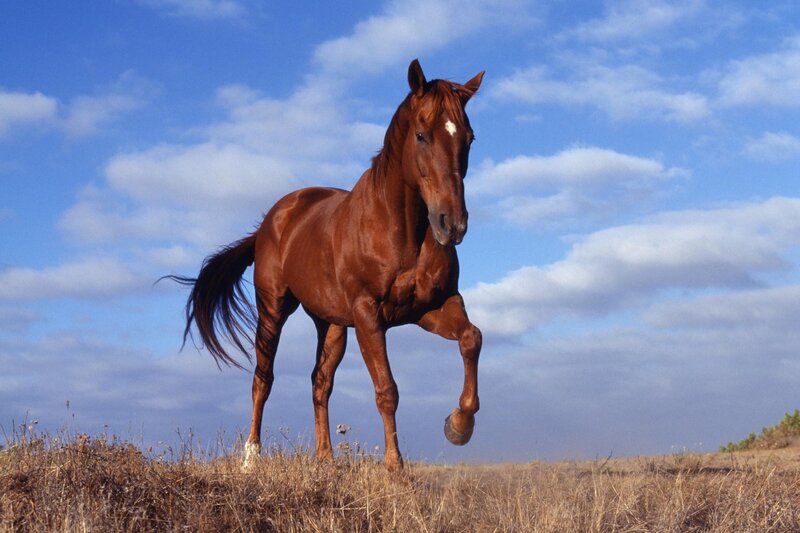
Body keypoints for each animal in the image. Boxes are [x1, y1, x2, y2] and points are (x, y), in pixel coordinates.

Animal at [168, 59, 484, 471]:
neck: (401, 230)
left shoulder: (432, 307)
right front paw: (395, 468)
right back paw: (251, 457)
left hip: (331, 324)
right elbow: (387, 389)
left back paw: (325, 460)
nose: (452, 224)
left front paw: (459, 426)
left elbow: (471, 338)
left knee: (320, 383)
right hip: (273, 309)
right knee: (263, 379)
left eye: (469, 138)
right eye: (421, 135)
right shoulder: (369, 314)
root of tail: (271, 222)